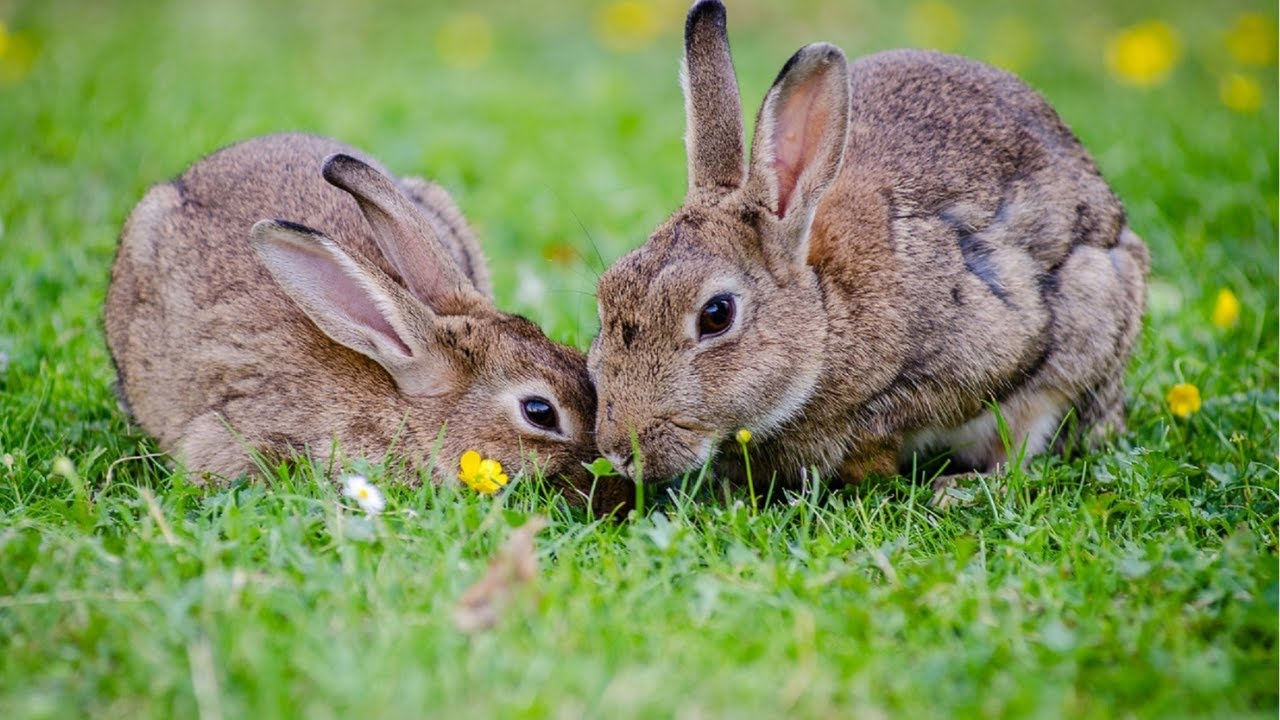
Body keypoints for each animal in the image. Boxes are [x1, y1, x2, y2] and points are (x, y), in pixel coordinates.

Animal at [587, 0, 1149, 497]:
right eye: (606, 294)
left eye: (716, 314)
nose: (619, 450)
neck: (825, 315)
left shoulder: (985, 347)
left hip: (1089, 315)